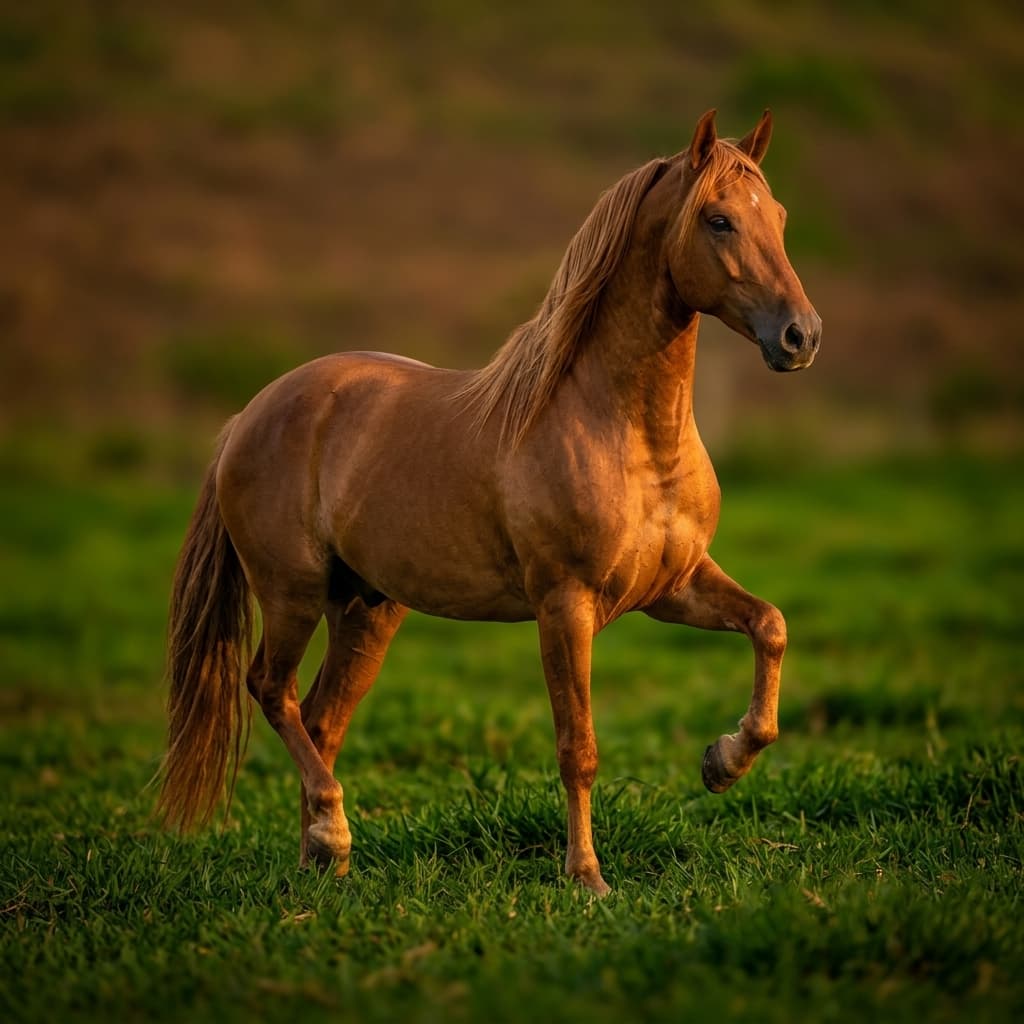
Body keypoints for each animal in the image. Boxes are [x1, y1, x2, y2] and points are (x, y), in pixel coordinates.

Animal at [157, 109, 821, 896]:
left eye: (779, 216)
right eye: (718, 220)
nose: (801, 336)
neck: (625, 431)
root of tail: (248, 416)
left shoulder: (675, 586)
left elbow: (771, 626)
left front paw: (722, 763)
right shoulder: (565, 605)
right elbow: (578, 746)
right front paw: (587, 877)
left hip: (366, 610)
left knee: (320, 719)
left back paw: (323, 859)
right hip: (292, 593)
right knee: (272, 690)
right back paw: (333, 832)